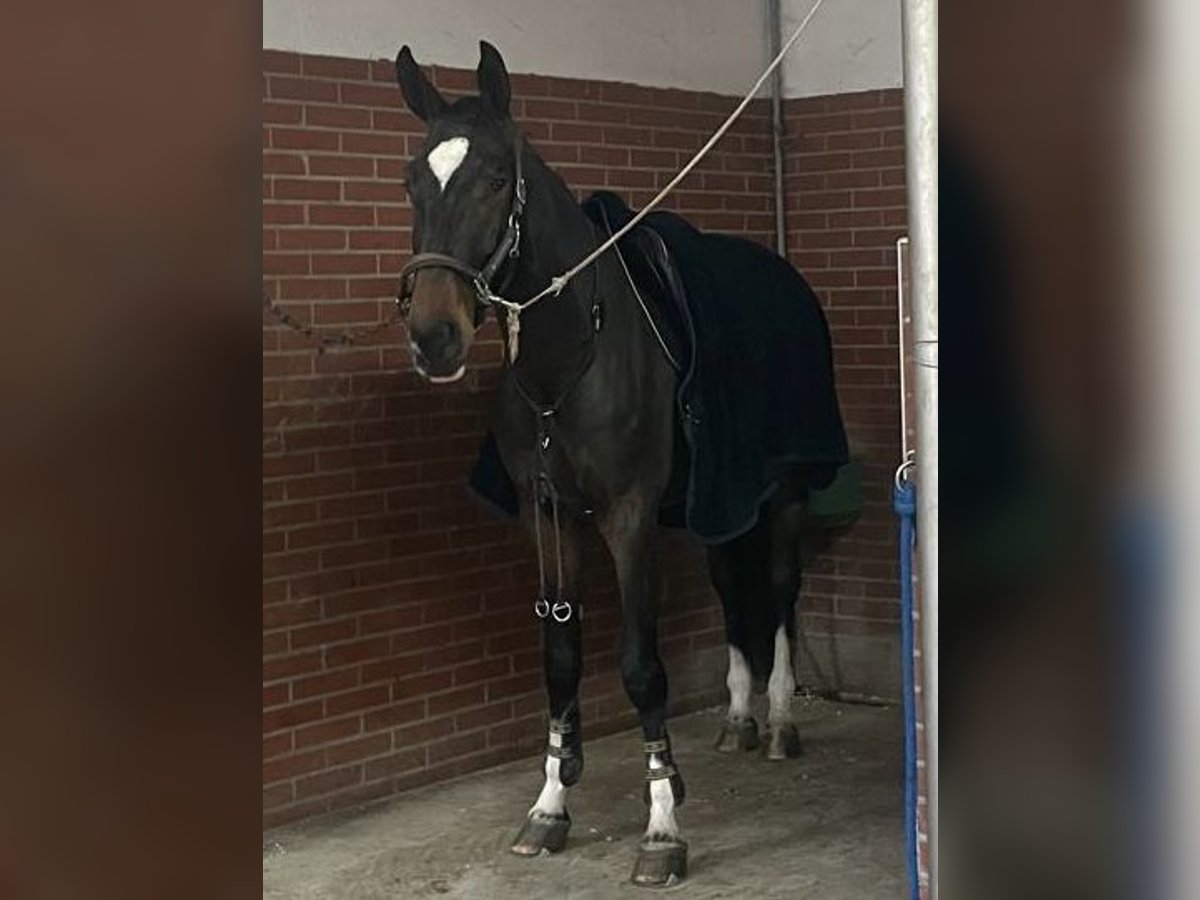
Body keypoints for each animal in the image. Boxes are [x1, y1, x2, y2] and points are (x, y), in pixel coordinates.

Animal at [393, 40, 844, 888]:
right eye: (412, 179)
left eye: (496, 177)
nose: (434, 336)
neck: (570, 354)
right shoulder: (548, 516)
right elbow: (561, 659)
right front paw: (548, 807)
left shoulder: (630, 516)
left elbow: (641, 666)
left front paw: (662, 824)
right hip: (715, 503)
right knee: (730, 586)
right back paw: (737, 716)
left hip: (785, 490)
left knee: (777, 590)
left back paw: (776, 719)